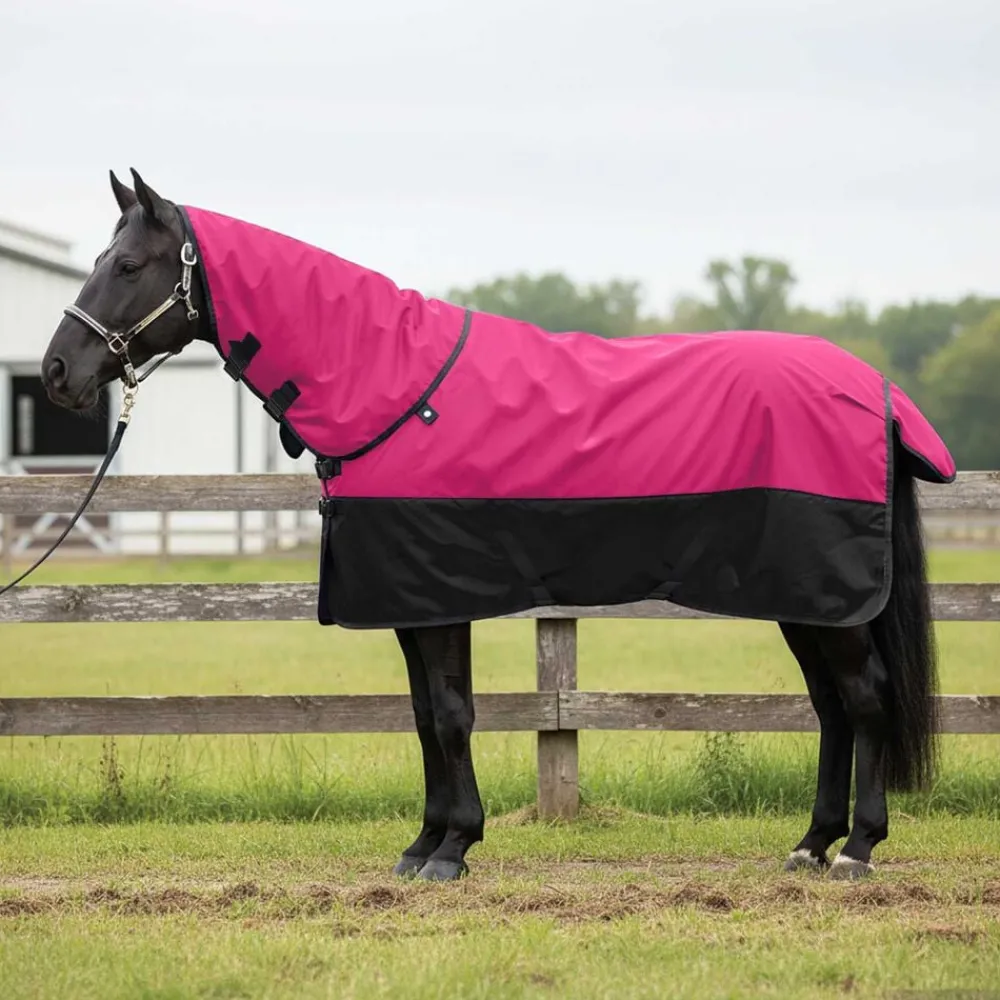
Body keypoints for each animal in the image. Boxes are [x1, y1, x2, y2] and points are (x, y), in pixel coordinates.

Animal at [39, 168, 956, 882]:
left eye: (127, 264)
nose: (56, 372)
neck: (390, 385)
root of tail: (874, 390)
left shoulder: (438, 596)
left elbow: (450, 715)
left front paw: (452, 850)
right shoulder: (410, 602)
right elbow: (423, 716)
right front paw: (424, 845)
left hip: (827, 597)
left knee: (864, 699)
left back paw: (857, 850)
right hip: (804, 599)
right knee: (832, 706)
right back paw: (810, 845)